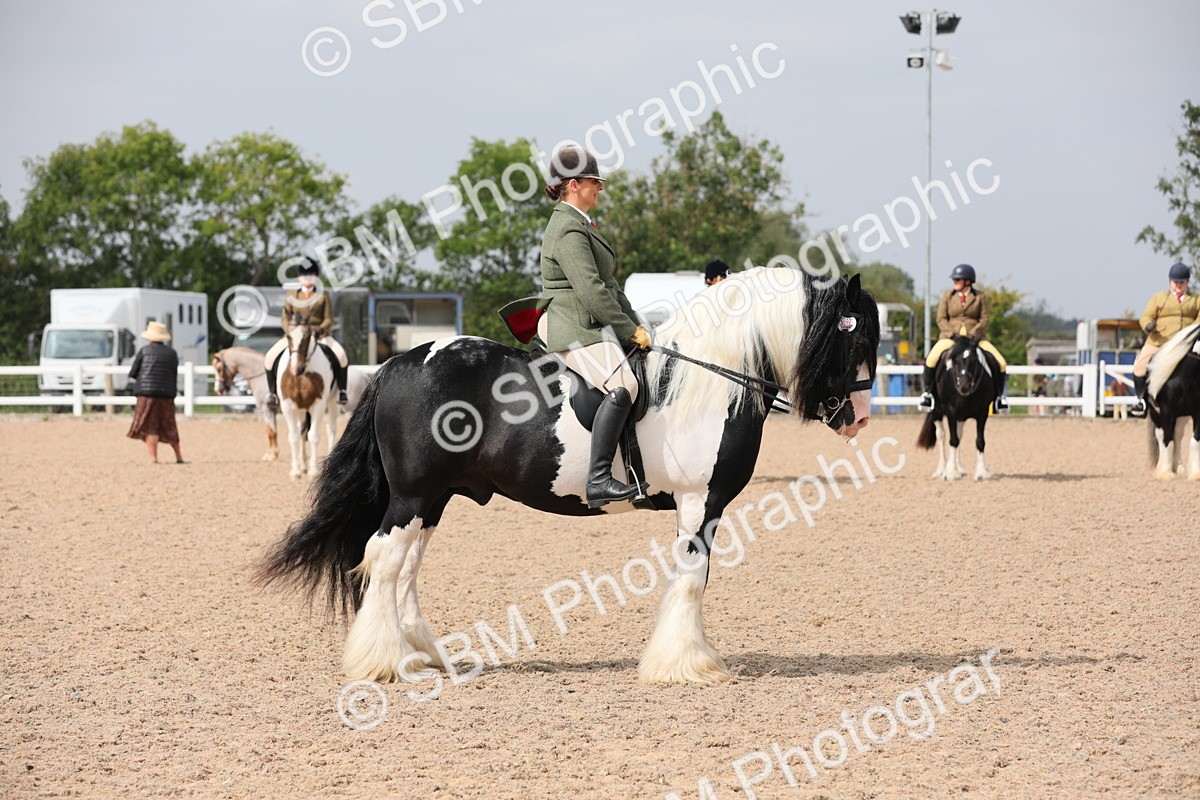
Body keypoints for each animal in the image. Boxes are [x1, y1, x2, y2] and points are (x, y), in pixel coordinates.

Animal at [276, 319, 338, 479]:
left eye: (306, 337)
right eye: (288, 336)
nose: (295, 369)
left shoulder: (318, 404)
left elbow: (313, 436)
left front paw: (313, 470)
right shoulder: (287, 405)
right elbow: (294, 436)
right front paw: (295, 470)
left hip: (332, 402)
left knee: (331, 428)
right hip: (300, 409)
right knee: (301, 431)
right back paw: (302, 465)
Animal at [917, 335, 997, 481]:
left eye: (975, 361)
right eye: (954, 361)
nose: (964, 387)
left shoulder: (982, 413)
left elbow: (979, 441)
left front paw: (981, 472)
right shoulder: (952, 412)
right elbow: (953, 440)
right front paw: (950, 472)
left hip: (962, 416)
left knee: (959, 435)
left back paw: (959, 468)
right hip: (936, 412)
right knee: (941, 435)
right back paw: (941, 469)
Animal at [1145, 320, 1200, 480]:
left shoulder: (1197, 413)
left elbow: (1194, 441)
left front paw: (1195, 474)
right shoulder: (1166, 412)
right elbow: (1166, 441)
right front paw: (1166, 474)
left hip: (1181, 416)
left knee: (1178, 435)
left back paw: (1178, 467)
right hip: (1155, 413)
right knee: (1161, 435)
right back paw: (1162, 468)